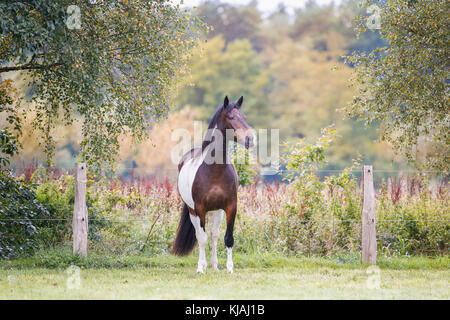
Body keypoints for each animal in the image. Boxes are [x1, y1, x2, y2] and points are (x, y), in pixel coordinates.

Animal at [171, 95, 256, 272]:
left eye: (244, 117)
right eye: (231, 117)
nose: (251, 139)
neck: (214, 171)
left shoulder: (230, 207)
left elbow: (228, 238)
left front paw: (229, 268)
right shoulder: (200, 209)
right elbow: (202, 238)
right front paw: (200, 268)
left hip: (217, 211)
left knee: (214, 234)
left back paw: (215, 266)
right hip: (192, 211)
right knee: (200, 235)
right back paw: (203, 265)